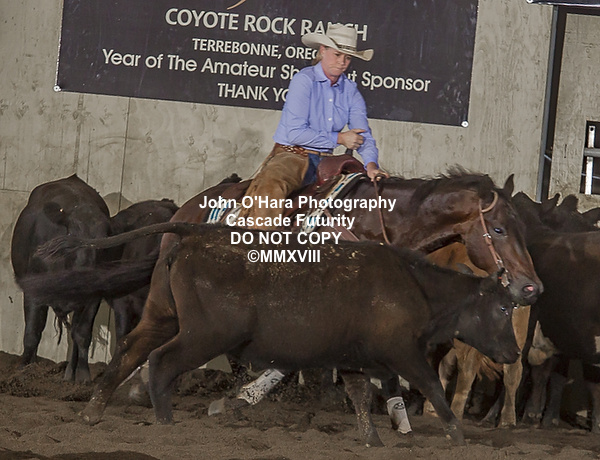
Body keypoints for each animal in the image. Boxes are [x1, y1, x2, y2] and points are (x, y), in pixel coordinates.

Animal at [10, 174, 112, 383]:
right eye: (72, 234)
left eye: (103, 241)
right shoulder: (34, 292)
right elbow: (32, 333)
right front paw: (23, 371)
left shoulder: (93, 297)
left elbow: (82, 334)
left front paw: (83, 376)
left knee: (74, 333)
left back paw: (69, 374)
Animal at [73, 224, 521, 447]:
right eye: (503, 308)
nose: (515, 353)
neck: (417, 287)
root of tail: (188, 240)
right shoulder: (402, 352)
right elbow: (431, 385)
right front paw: (457, 433)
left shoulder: (352, 357)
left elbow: (360, 396)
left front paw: (372, 439)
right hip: (205, 334)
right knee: (161, 361)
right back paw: (166, 422)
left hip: (163, 316)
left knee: (130, 350)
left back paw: (94, 411)